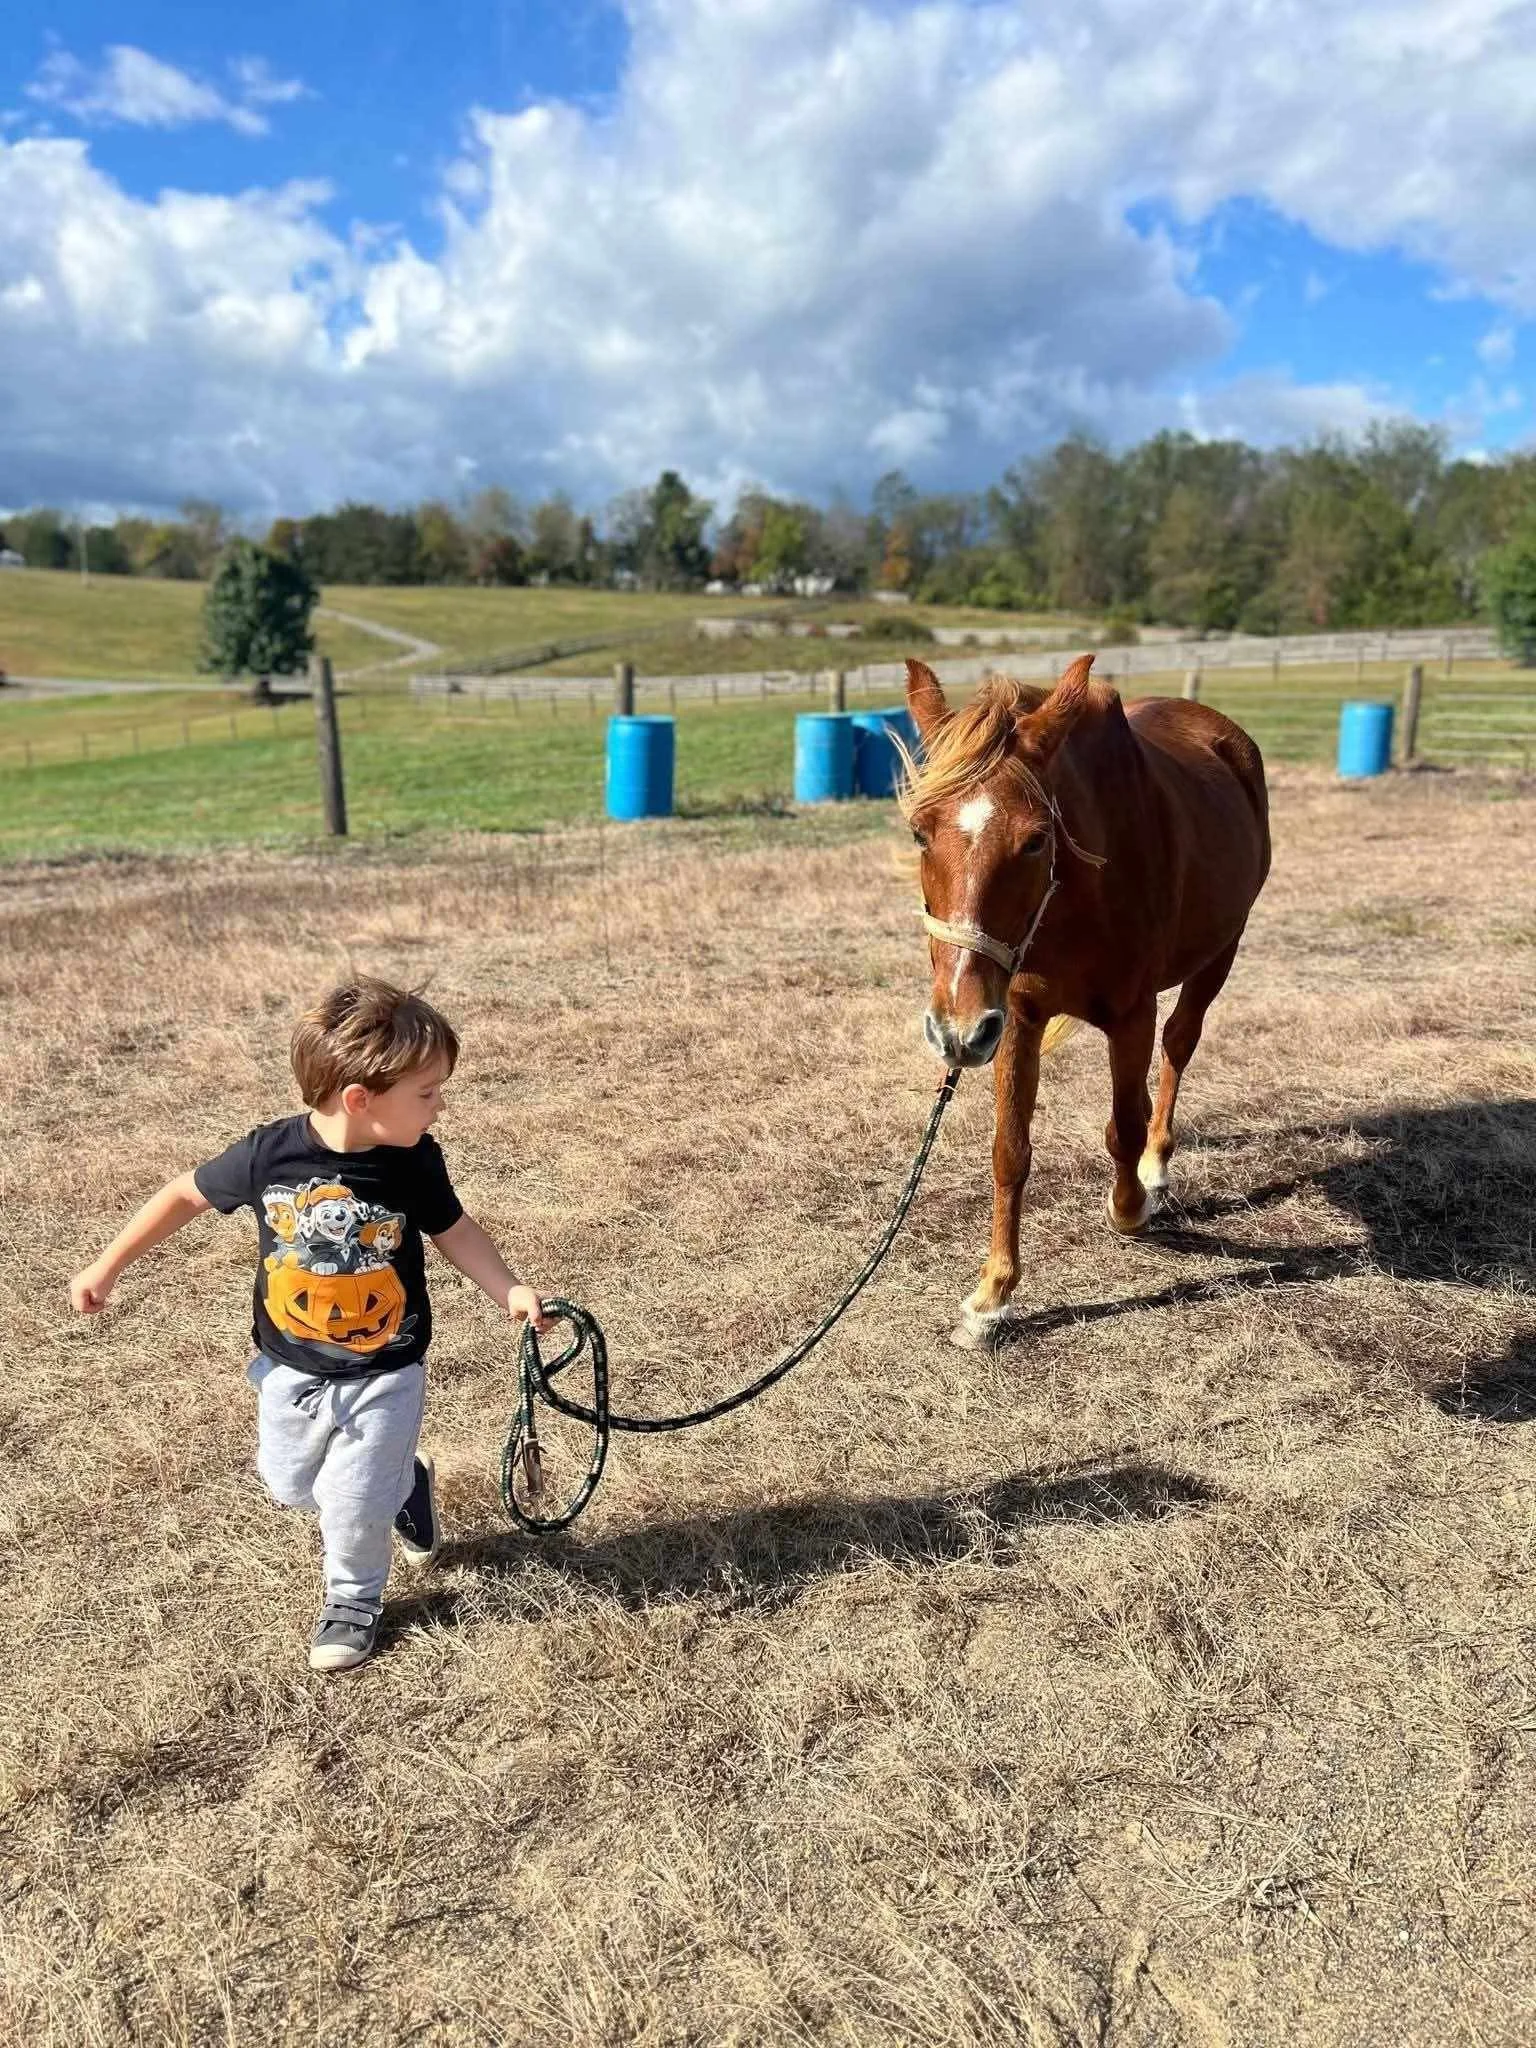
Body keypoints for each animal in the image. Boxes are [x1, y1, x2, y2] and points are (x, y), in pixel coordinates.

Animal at [899, 653, 1271, 1346]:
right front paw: (993, 1294)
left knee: (1178, 1046)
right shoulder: (1014, 1019)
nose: (955, 1031)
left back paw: (1156, 1166)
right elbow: (1010, 1150)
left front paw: (1131, 1207)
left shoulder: (1130, 1015)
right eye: (918, 833)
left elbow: (1122, 1129)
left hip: (1220, 954)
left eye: (1035, 839)